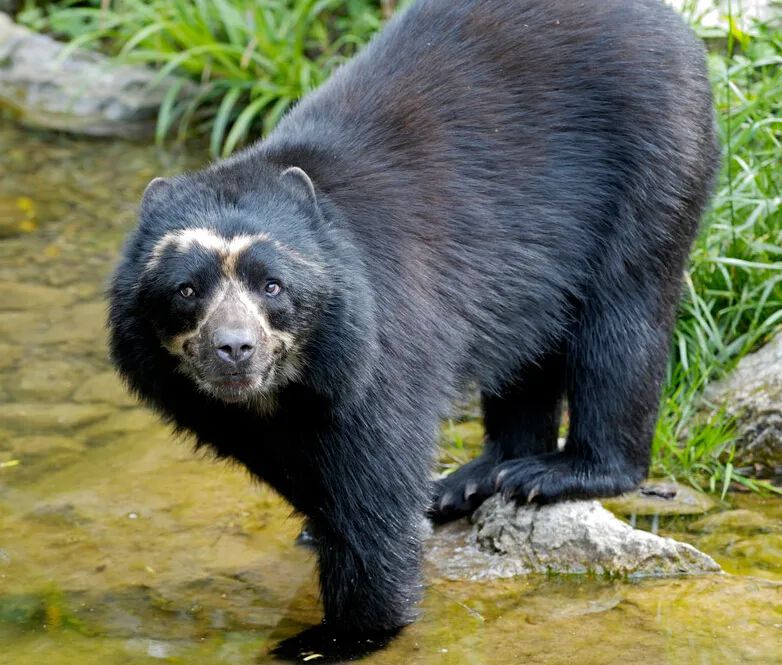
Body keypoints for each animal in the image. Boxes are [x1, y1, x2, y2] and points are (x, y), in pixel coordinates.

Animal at [107, 0, 720, 652]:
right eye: (186, 290)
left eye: (272, 286)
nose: (234, 349)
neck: (285, 387)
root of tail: (672, 24)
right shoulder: (208, 404)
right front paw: (320, 534)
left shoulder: (381, 342)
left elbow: (376, 485)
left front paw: (337, 638)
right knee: (527, 350)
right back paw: (473, 479)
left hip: (654, 157)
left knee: (624, 319)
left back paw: (555, 473)